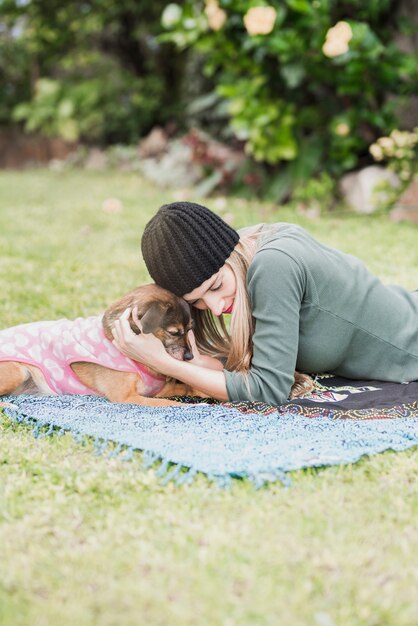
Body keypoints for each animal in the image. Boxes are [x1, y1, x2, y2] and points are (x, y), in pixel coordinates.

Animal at [0, 282, 314, 404]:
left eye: (191, 331)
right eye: (174, 332)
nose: (189, 359)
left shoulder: (165, 386)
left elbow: (192, 386)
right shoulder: (128, 398)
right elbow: (173, 404)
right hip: (16, 370)